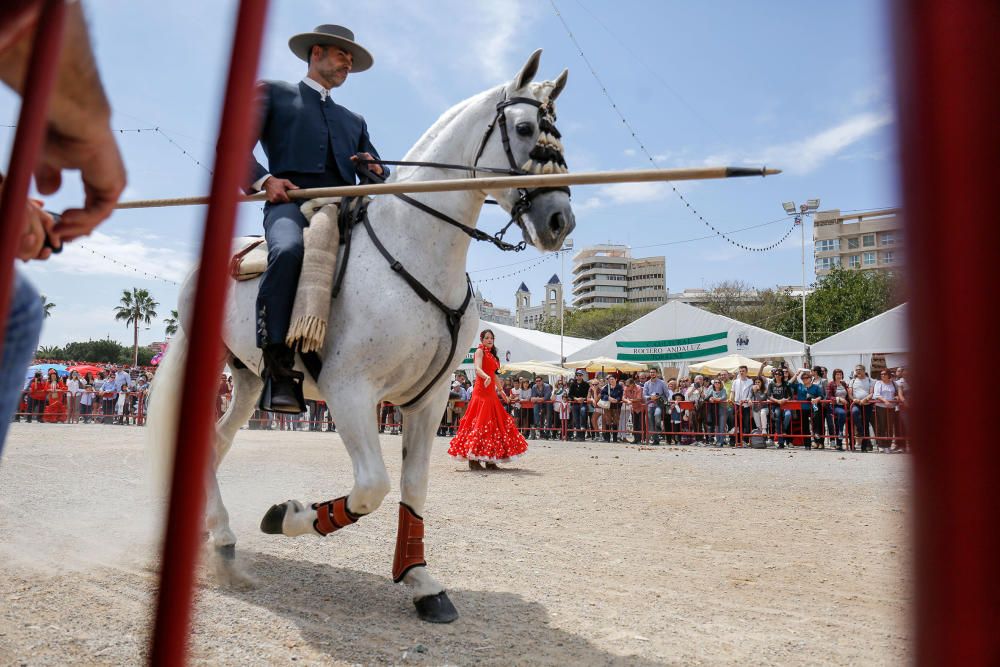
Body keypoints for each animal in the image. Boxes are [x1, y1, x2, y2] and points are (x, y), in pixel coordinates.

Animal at [145, 49, 576, 624]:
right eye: (526, 129)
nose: (560, 220)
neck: (415, 246)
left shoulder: (428, 399)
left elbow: (413, 488)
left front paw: (421, 580)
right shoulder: (350, 392)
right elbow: (372, 487)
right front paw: (288, 516)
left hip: (249, 378)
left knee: (215, 441)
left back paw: (218, 535)